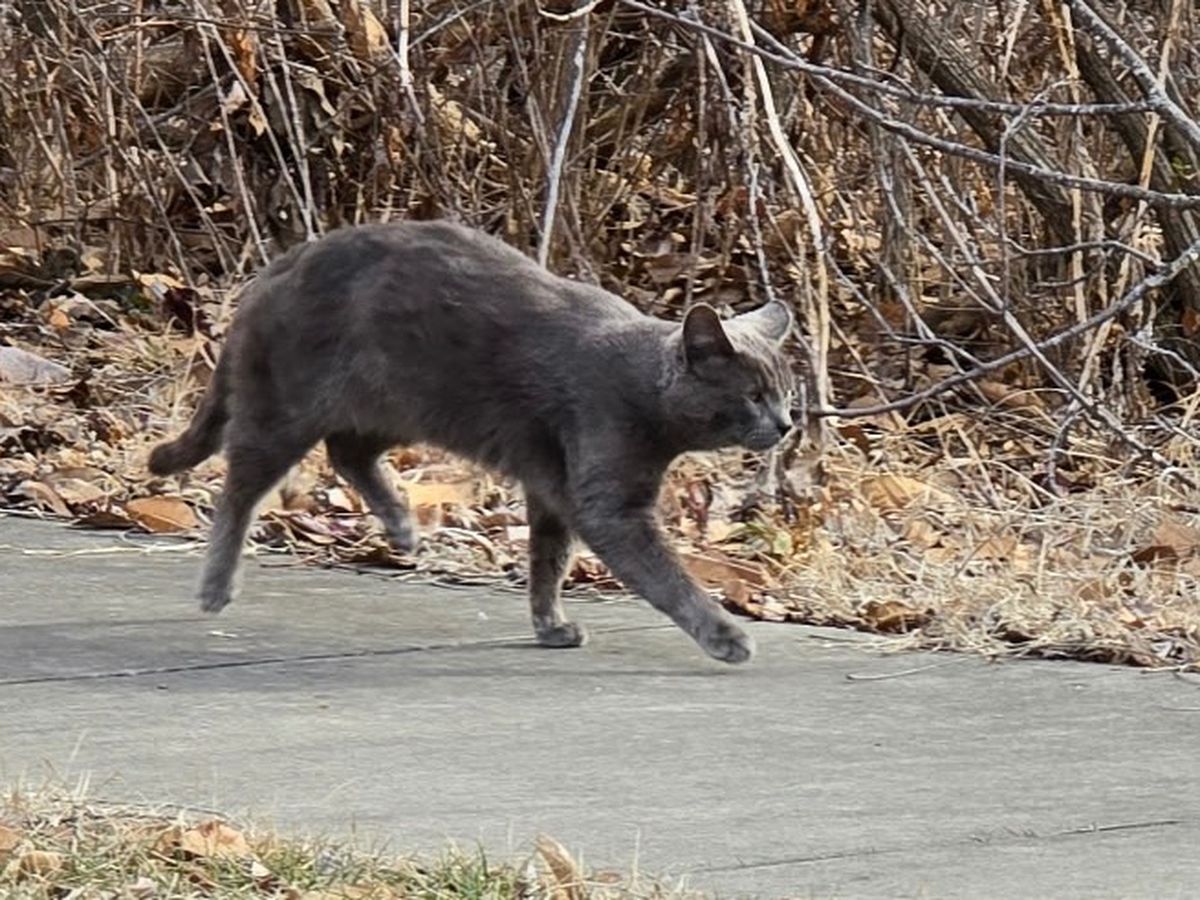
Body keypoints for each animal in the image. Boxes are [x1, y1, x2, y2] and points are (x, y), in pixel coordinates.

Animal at [149, 220, 796, 664]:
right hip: (286, 408)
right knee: (240, 489)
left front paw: (550, 625)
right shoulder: (608, 503)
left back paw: (403, 528)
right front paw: (726, 636)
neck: (644, 392)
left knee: (348, 452)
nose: (788, 424)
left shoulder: (553, 486)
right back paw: (217, 588)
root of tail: (280, 264)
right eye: (753, 395)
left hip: (404, 402)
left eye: (785, 392)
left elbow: (548, 560)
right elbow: (665, 575)